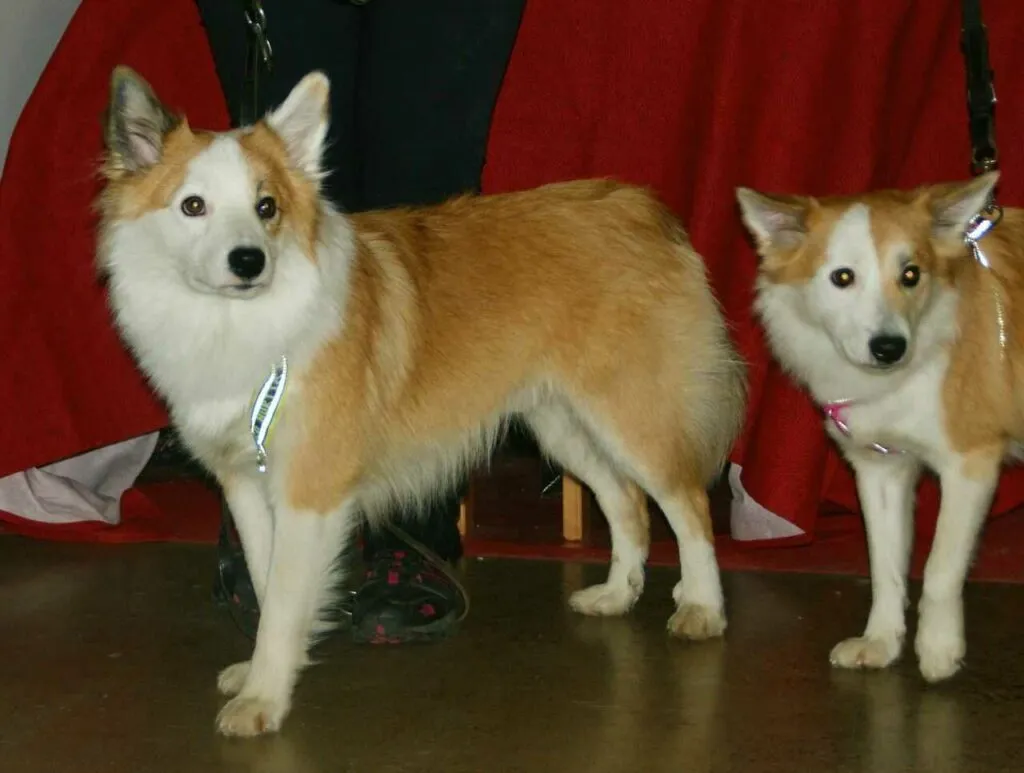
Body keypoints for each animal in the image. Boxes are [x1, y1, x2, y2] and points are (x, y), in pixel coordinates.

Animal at [97, 68, 745, 737]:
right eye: (193, 205)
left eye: (266, 207)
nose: (249, 261)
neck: (243, 324)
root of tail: (639, 207)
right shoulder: (247, 484)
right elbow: (264, 575)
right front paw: (263, 671)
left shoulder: (310, 490)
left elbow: (282, 600)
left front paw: (264, 696)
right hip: (561, 424)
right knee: (627, 502)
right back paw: (617, 593)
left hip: (630, 417)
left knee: (687, 505)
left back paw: (702, 606)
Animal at [741, 170, 1019, 683]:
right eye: (842, 277)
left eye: (911, 275)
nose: (890, 347)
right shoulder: (880, 469)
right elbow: (885, 567)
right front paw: (881, 641)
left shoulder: (970, 466)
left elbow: (940, 568)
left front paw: (938, 648)